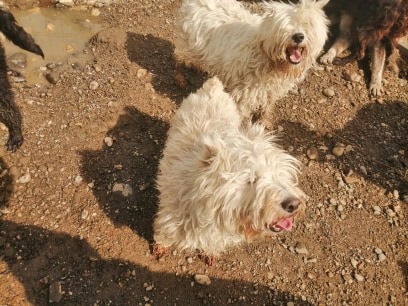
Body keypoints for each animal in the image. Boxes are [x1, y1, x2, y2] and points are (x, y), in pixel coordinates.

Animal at [154, 77, 306, 260]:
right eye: (251, 179)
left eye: (280, 174)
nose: (294, 204)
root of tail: (213, 88)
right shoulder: (168, 219)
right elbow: (164, 235)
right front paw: (160, 246)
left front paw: (210, 253)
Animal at [174, 0, 330, 120]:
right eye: (284, 26)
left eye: (307, 24)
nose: (298, 36)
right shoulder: (245, 93)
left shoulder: (271, 91)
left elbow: (267, 106)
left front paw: (264, 121)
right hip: (187, 45)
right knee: (179, 57)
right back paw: (181, 79)